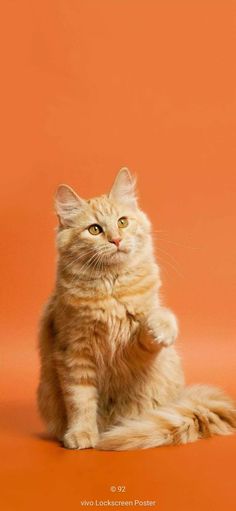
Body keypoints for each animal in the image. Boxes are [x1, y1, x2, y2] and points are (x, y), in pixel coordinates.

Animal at [37, 166, 236, 450]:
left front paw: (161, 327)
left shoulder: (135, 346)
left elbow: (154, 323)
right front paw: (82, 434)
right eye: (95, 229)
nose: (117, 240)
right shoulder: (74, 351)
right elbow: (80, 401)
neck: (111, 288)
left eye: (122, 222)